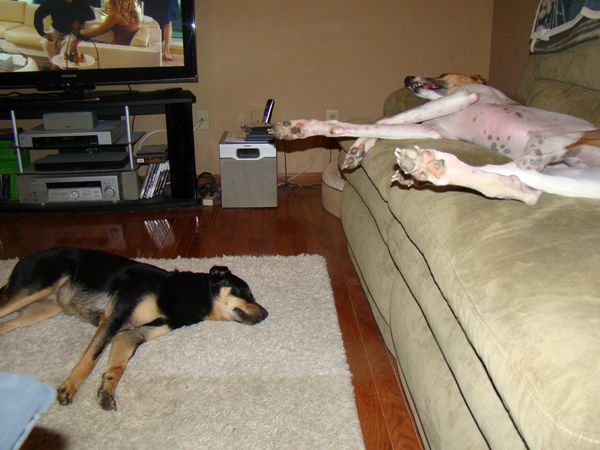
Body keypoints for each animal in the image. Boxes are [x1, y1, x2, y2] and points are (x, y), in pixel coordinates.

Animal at [0, 248, 268, 410]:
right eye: (245, 293)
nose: (266, 314)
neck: (183, 295)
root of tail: (23, 259)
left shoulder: (130, 334)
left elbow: (117, 367)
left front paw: (107, 391)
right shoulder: (115, 317)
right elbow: (91, 357)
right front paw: (70, 387)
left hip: (42, 308)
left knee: (5, 324)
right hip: (33, 289)